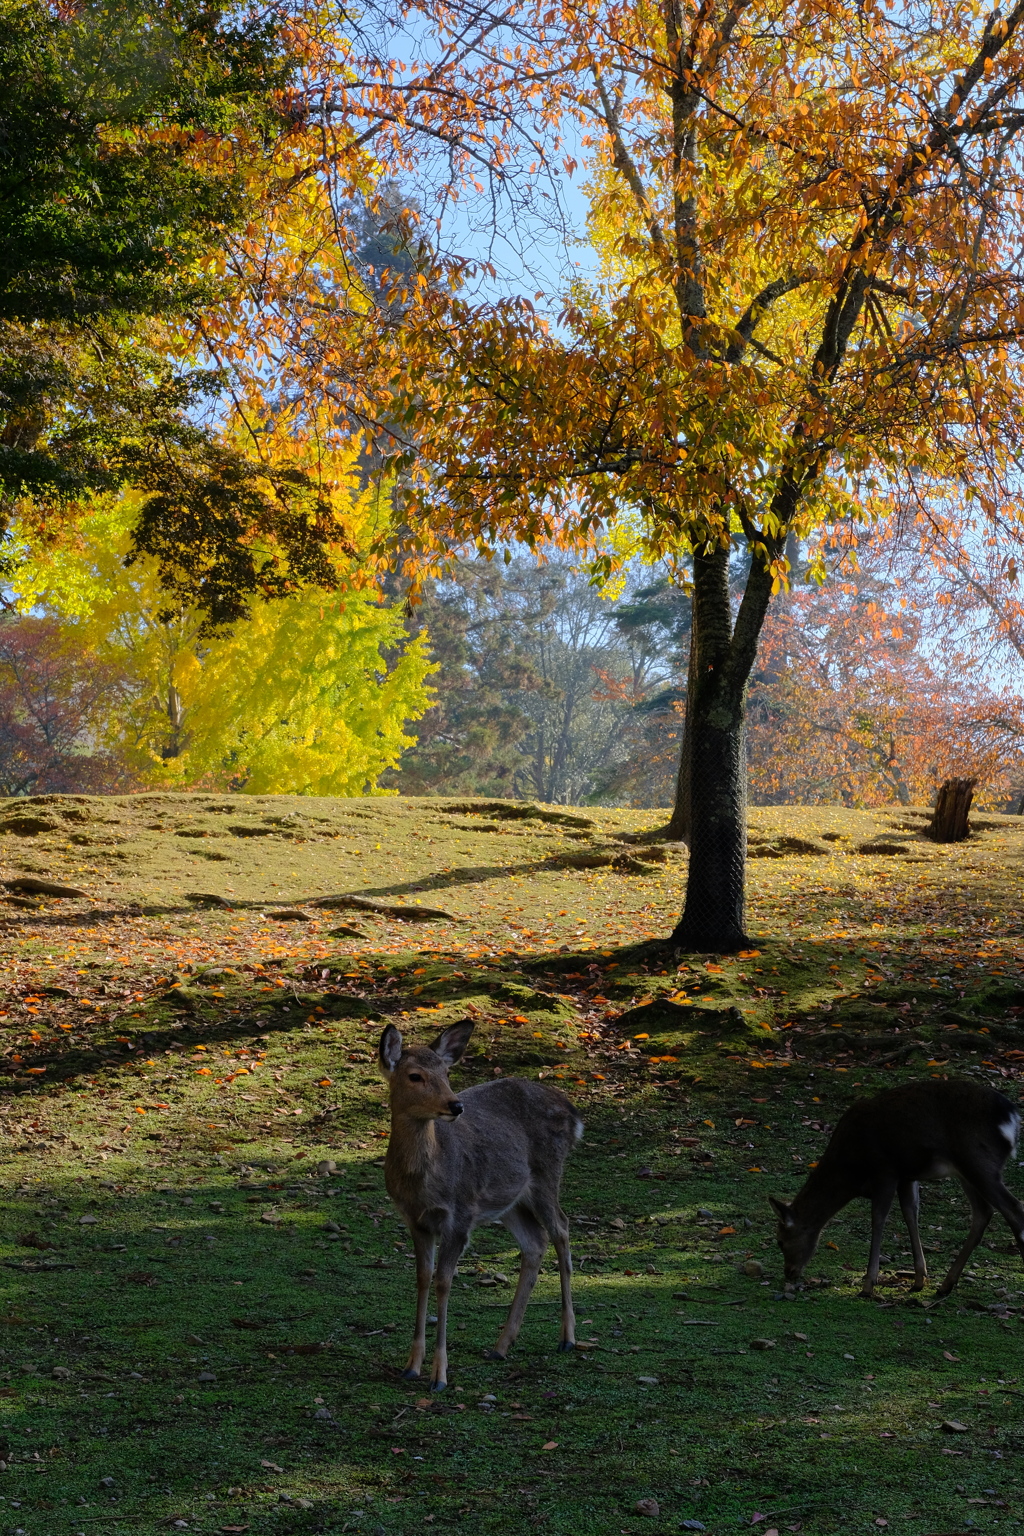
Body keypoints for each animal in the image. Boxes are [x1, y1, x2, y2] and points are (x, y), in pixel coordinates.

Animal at [379, 1019, 583, 1394]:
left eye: (446, 1072)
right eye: (415, 1076)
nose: (455, 1106)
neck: (424, 1183)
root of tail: (573, 1113)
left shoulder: (459, 1216)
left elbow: (444, 1281)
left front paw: (439, 1375)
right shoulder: (415, 1221)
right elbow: (422, 1278)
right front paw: (411, 1366)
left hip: (547, 1172)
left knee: (561, 1228)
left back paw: (567, 1337)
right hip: (510, 1199)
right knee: (535, 1241)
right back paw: (501, 1345)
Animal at [767, 1081, 1024, 1296]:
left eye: (780, 1241)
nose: (789, 1272)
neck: (851, 1171)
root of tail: (1012, 1118)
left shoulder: (885, 1170)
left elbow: (878, 1218)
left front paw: (868, 1285)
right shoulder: (906, 1177)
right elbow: (911, 1214)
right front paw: (919, 1279)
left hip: (978, 1161)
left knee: (1014, 1208)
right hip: (966, 1170)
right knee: (983, 1212)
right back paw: (946, 1284)